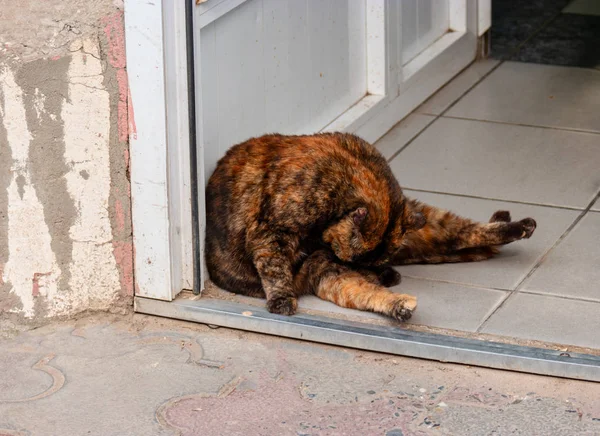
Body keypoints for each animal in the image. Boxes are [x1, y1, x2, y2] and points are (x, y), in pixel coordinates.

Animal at [205, 135, 536, 322]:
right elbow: (274, 267)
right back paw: (398, 300)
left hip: (427, 222)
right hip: (328, 273)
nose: (375, 270)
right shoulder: (272, 231)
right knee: (363, 292)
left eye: (361, 259)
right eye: (352, 258)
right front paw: (281, 299)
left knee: (463, 233)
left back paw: (518, 226)